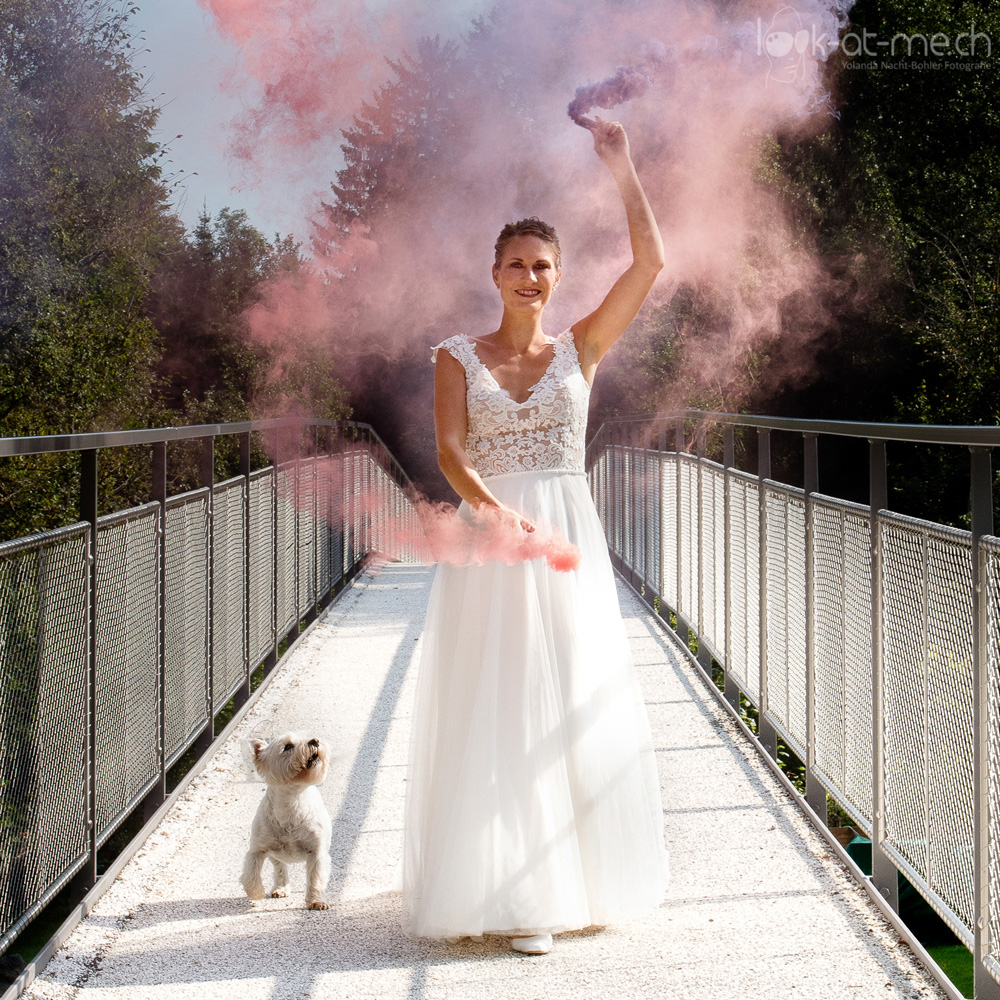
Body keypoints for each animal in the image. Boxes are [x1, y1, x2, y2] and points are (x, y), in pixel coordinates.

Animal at [241, 732, 332, 910]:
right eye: (288, 746)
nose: (315, 741)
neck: (292, 801)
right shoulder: (257, 849)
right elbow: (250, 876)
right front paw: (257, 894)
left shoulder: (316, 852)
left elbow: (315, 879)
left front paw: (316, 901)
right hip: (274, 854)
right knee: (280, 868)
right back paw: (280, 888)